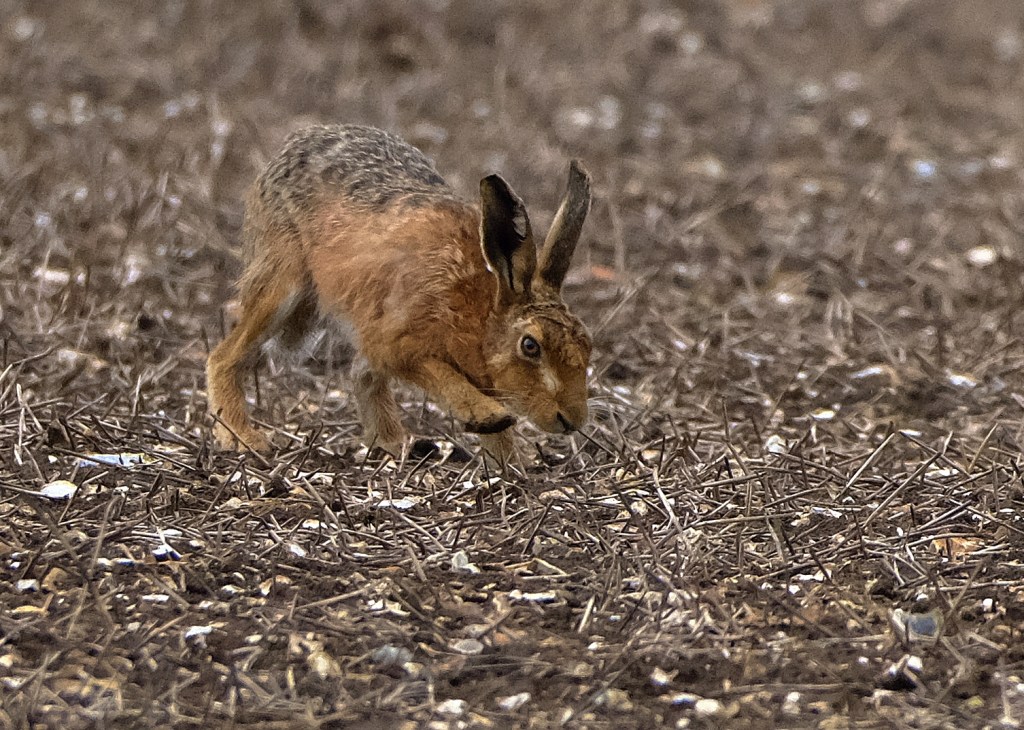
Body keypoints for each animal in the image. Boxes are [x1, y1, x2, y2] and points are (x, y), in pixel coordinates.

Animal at [206, 124, 592, 463]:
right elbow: (445, 379)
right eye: (530, 346)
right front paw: (487, 417)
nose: (571, 420)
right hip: (282, 285)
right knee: (224, 356)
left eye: (588, 346)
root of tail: (292, 145)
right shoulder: (400, 343)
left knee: (361, 376)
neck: (482, 316)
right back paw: (243, 437)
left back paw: (395, 444)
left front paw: (511, 467)